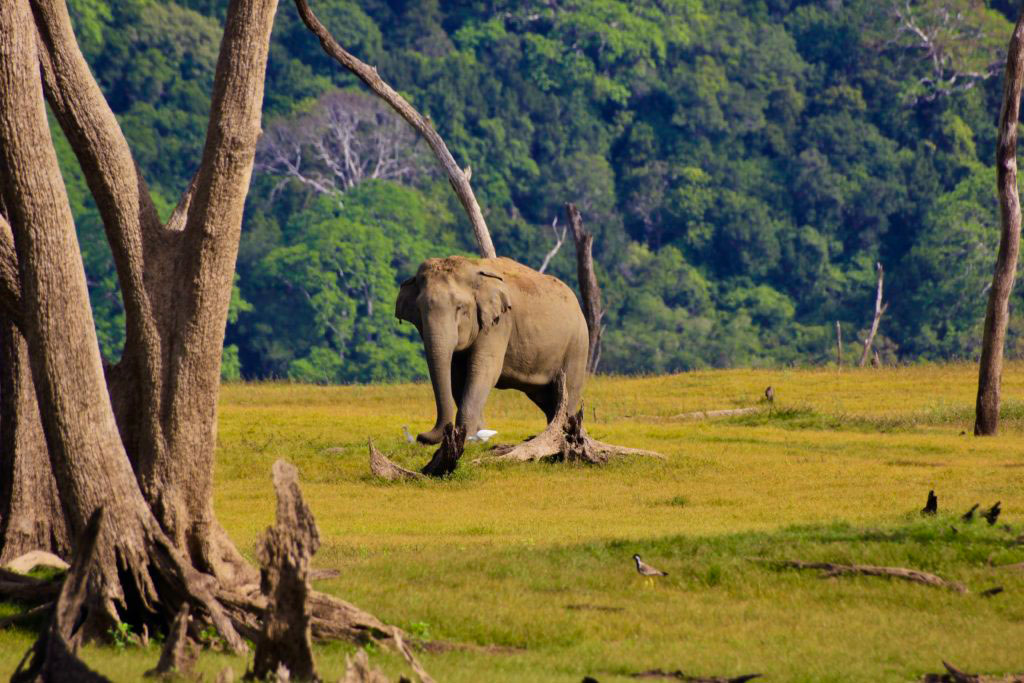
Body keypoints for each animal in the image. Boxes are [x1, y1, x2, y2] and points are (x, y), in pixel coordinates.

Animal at [395, 254, 589, 444]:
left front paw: (468, 437)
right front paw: (477, 434)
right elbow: (457, 376)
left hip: (577, 346)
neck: (474, 267)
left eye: (460, 308)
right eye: (419, 310)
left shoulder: (499, 323)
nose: (422, 437)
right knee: (547, 400)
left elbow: (484, 369)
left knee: (567, 392)